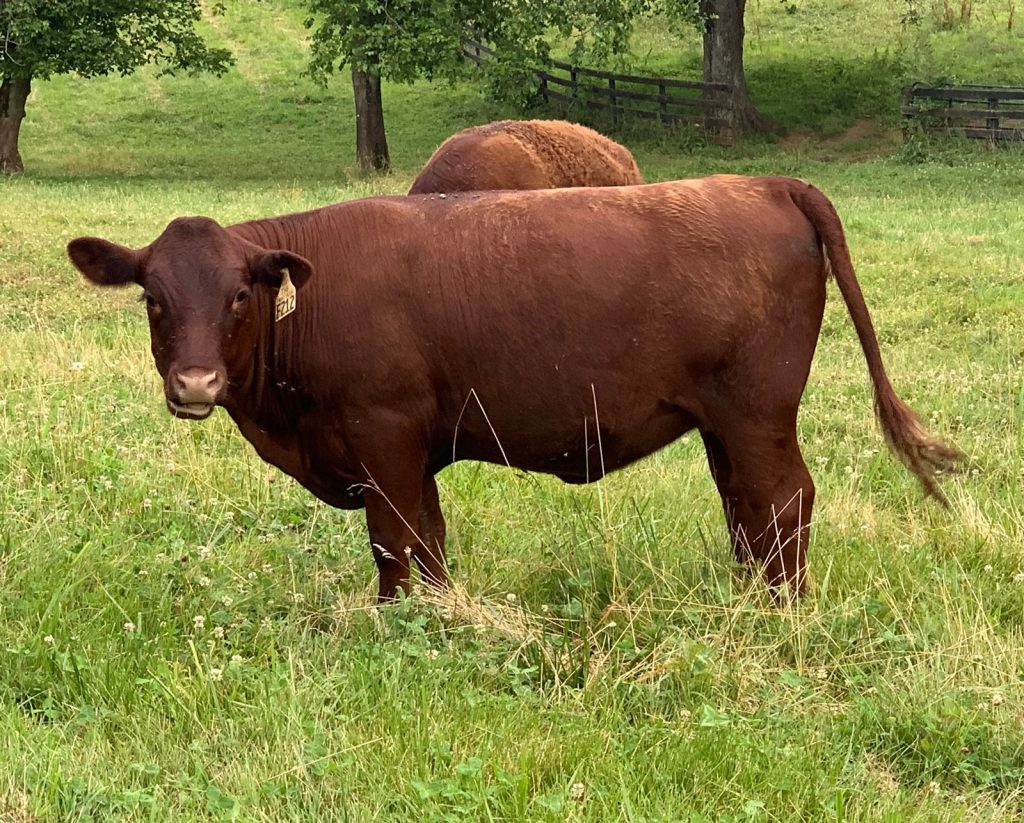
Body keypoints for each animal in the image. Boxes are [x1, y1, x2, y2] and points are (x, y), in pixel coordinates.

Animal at [68, 175, 962, 597]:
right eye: (153, 298)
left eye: (238, 296)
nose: (195, 380)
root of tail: (767, 182)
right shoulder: (412, 449)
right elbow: (428, 540)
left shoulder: (381, 433)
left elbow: (395, 542)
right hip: (724, 424)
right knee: (747, 507)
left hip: (757, 411)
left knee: (783, 502)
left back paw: (780, 610)